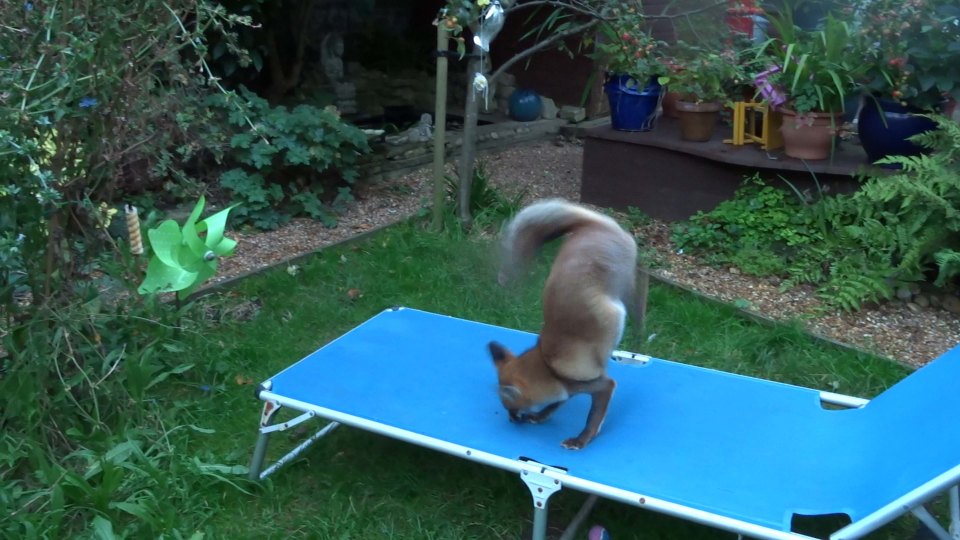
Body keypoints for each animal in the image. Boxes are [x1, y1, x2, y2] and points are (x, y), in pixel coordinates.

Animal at [488, 198, 636, 452]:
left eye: (510, 407)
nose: (512, 420)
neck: (549, 367)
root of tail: (592, 224)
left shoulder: (601, 385)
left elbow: (593, 418)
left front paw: (581, 440)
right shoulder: (568, 391)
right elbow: (553, 406)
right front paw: (540, 417)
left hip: (623, 284)